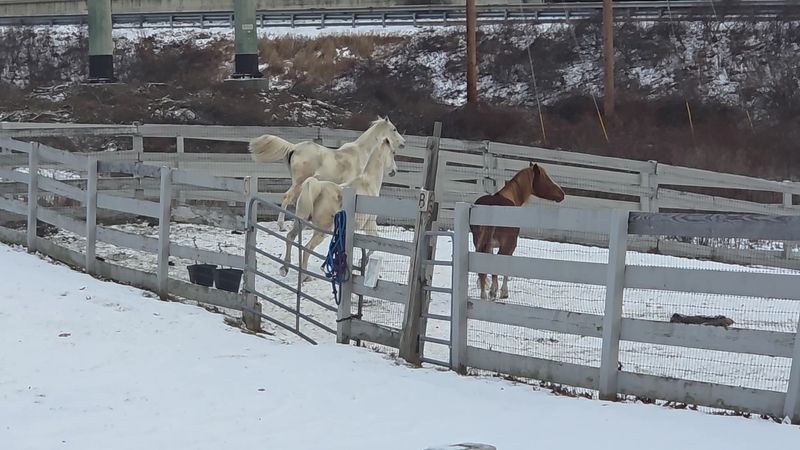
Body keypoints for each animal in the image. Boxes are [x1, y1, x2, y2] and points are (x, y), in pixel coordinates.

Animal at [249, 116, 406, 231]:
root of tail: (294, 147)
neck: (360, 153)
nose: (403, 143)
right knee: (287, 197)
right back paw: (281, 225)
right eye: (394, 129)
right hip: (299, 181)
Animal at [280, 137, 398, 282]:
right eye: (393, 152)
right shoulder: (369, 225)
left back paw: (285, 268)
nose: (395, 170)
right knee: (307, 247)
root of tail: (315, 188)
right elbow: (376, 241)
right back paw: (305, 276)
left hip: (301, 222)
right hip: (321, 231)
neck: (367, 184)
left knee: (290, 237)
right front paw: (362, 261)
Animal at [470, 162, 565, 300]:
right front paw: (501, 292)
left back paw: (483, 294)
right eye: (546, 178)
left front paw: (493, 290)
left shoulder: (490, 245)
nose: (562, 193)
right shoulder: (510, 246)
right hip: (506, 246)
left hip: (479, 242)